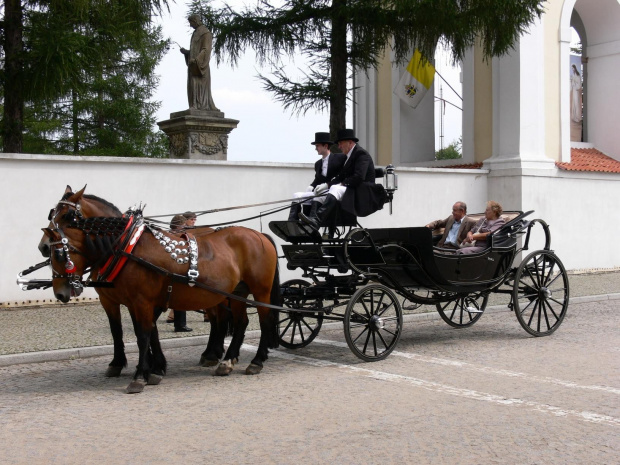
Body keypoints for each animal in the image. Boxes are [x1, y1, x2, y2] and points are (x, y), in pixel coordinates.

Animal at [40, 185, 280, 392]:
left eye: (66, 215)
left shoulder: (142, 300)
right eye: (52, 214)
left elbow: (143, 334)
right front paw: (149, 368)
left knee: (263, 320)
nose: (42, 246)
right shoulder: (126, 301)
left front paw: (140, 376)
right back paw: (226, 361)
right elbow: (127, 330)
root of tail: (259, 235)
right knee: (240, 322)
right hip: (237, 292)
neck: (127, 248)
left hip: (260, 290)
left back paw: (256, 360)